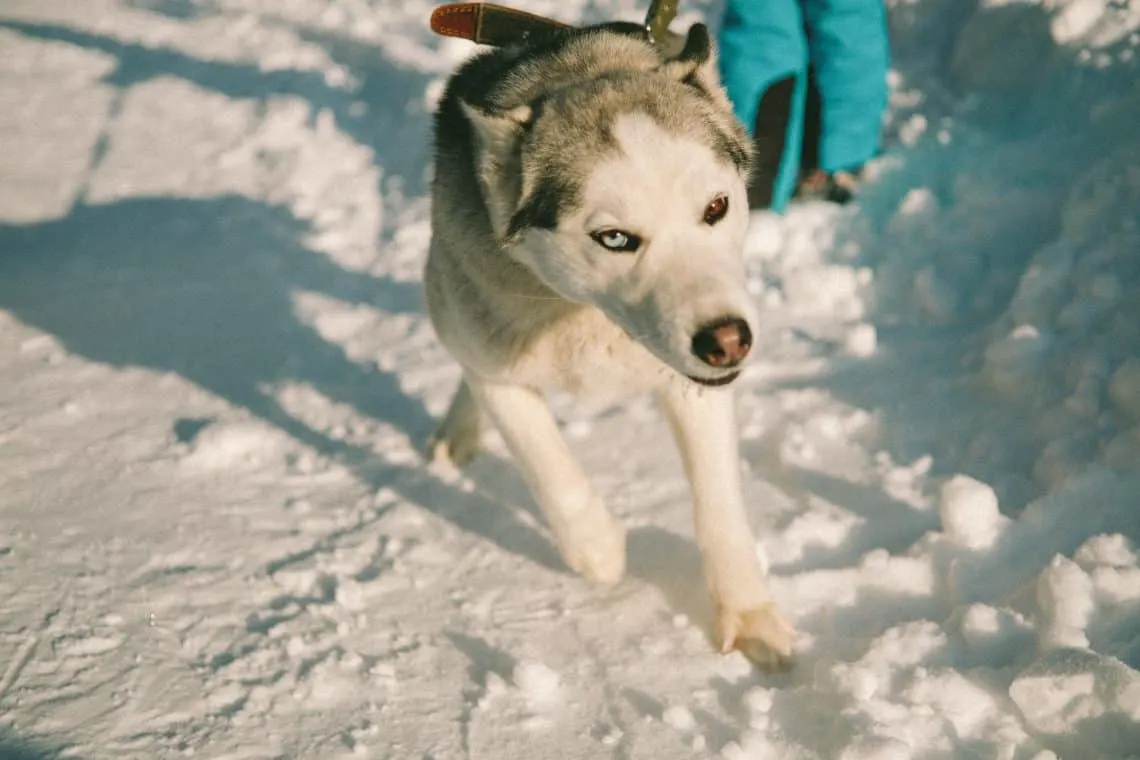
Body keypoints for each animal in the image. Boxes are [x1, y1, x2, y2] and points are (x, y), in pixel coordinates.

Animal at [426, 20, 793, 669]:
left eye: (716, 207)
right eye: (616, 238)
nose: (728, 341)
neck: (587, 316)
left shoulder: (695, 384)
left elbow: (718, 502)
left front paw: (747, 612)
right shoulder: (499, 371)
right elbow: (547, 461)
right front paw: (596, 547)